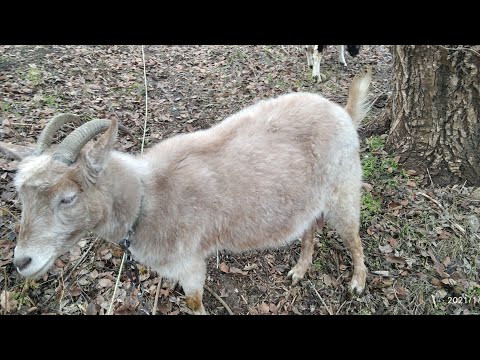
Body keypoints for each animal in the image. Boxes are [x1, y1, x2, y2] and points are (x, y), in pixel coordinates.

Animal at [0, 66, 374, 314]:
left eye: (68, 197)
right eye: (21, 198)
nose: (21, 262)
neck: (147, 198)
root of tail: (344, 113)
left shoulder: (189, 262)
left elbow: (194, 302)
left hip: (344, 187)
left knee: (353, 236)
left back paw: (358, 283)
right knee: (310, 228)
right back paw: (299, 270)